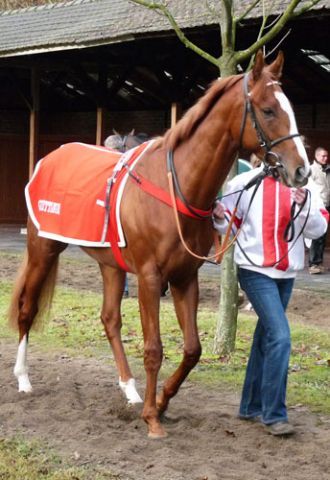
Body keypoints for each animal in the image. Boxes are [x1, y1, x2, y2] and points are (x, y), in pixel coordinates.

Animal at [8, 52, 312, 438]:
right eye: (269, 109)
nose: (301, 171)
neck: (177, 185)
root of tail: (50, 157)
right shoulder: (150, 278)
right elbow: (153, 348)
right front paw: (152, 418)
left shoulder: (184, 277)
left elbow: (193, 348)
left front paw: (163, 400)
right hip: (43, 249)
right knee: (27, 308)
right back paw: (23, 379)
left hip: (110, 264)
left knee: (110, 319)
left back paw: (130, 389)